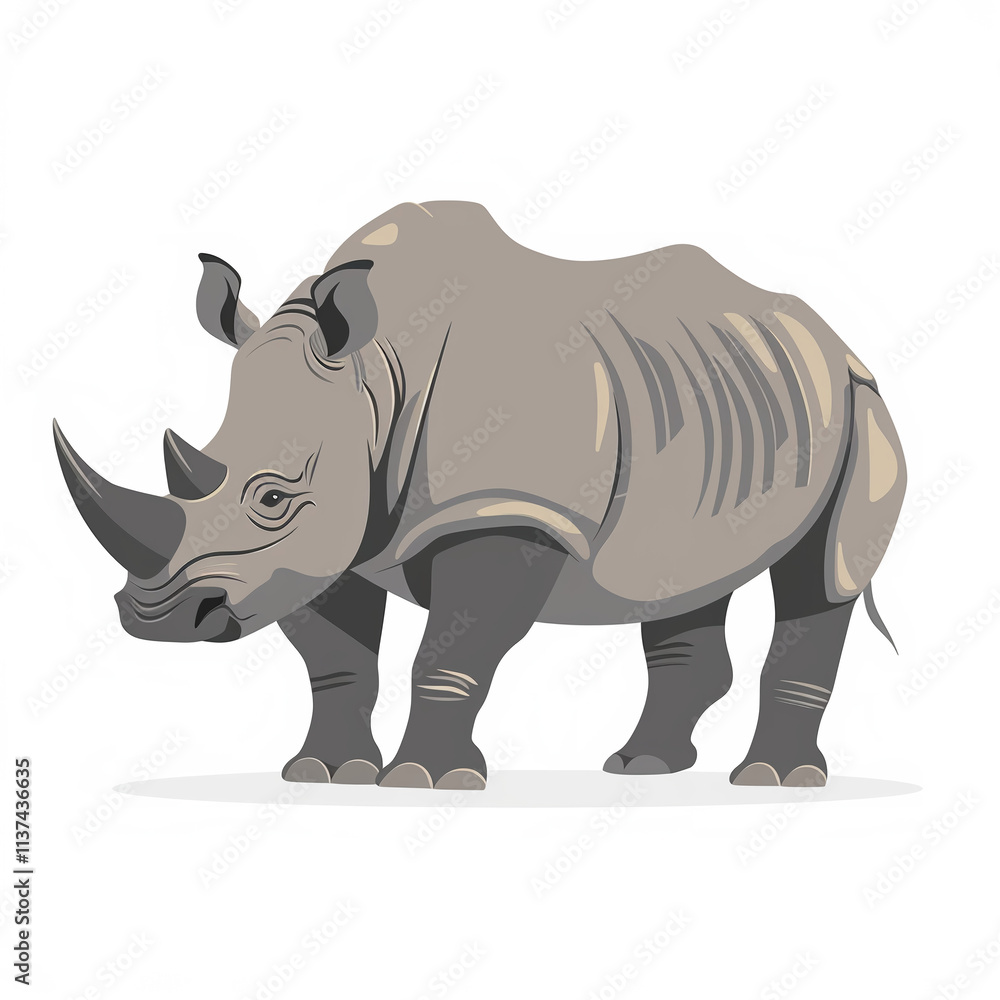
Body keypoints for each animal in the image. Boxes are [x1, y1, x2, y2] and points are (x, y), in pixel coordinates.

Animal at [54, 200, 906, 791]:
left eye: (272, 498)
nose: (156, 619)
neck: (374, 378)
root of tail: (833, 340)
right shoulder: (324, 540)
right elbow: (336, 660)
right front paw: (324, 774)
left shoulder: (503, 511)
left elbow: (452, 652)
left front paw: (425, 782)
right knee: (680, 573)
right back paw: (642, 767)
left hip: (861, 407)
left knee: (823, 575)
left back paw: (773, 780)